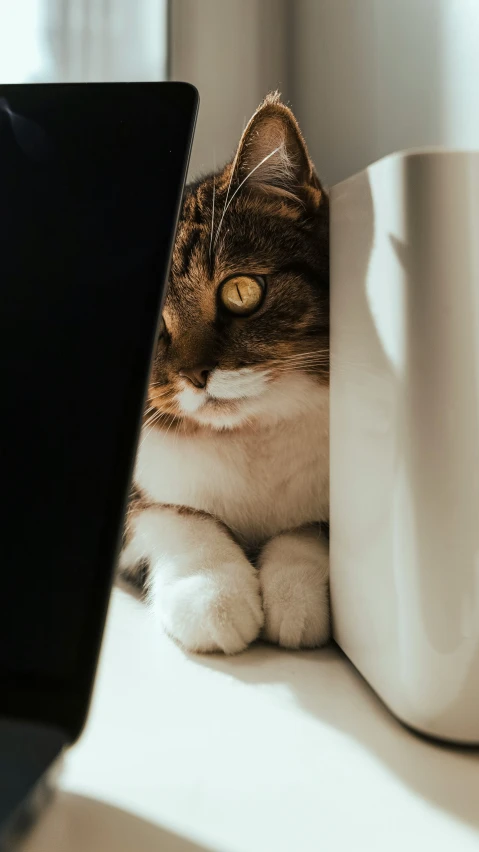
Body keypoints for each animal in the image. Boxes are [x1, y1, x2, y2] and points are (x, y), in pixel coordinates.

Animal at [119, 91, 330, 652]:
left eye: (241, 291)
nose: (197, 375)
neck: (250, 437)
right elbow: (175, 515)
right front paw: (215, 596)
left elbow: (307, 528)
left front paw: (297, 593)